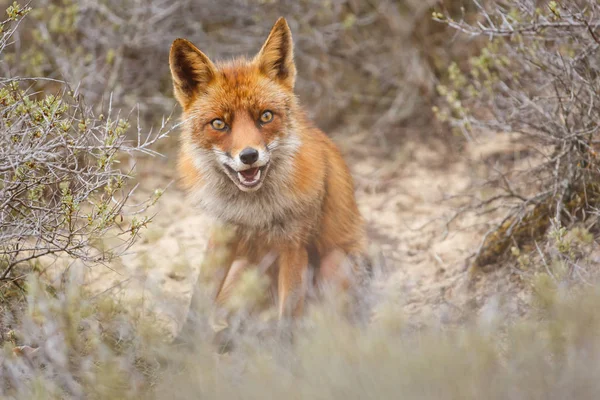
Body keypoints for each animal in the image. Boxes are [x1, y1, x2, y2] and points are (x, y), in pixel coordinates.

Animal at [168, 17, 366, 320]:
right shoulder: (221, 238)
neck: (254, 211)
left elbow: (287, 322)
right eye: (218, 124)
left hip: (335, 263)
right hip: (243, 274)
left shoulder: (293, 246)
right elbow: (197, 306)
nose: (249, 156)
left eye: (265, 116)